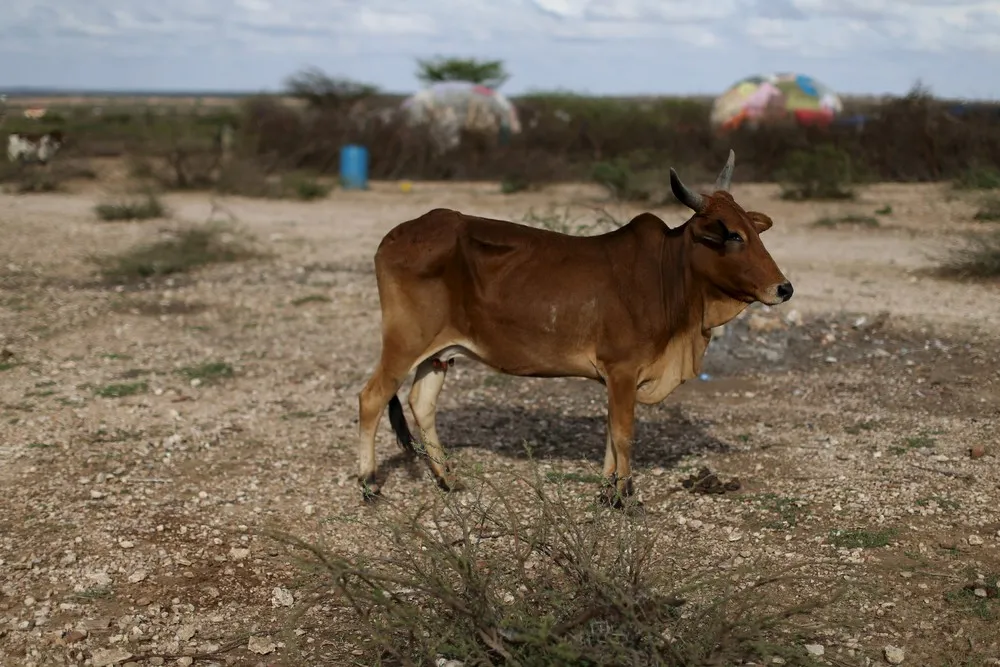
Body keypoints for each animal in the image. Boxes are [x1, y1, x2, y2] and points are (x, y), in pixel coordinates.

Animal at [356, 151, 792, 506]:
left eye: (754, 231)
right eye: (731, 235)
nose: (784, 288)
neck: (668, 276)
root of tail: (395, 235)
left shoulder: (618, 378)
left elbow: (611, 434)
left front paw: (607, 492)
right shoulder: (622, 369)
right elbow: (623, 433)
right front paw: (624, 497)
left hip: (438, 353)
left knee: (422, 403)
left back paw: (448, 479)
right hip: (404, 341)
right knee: (372, 398)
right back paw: (369, 483)